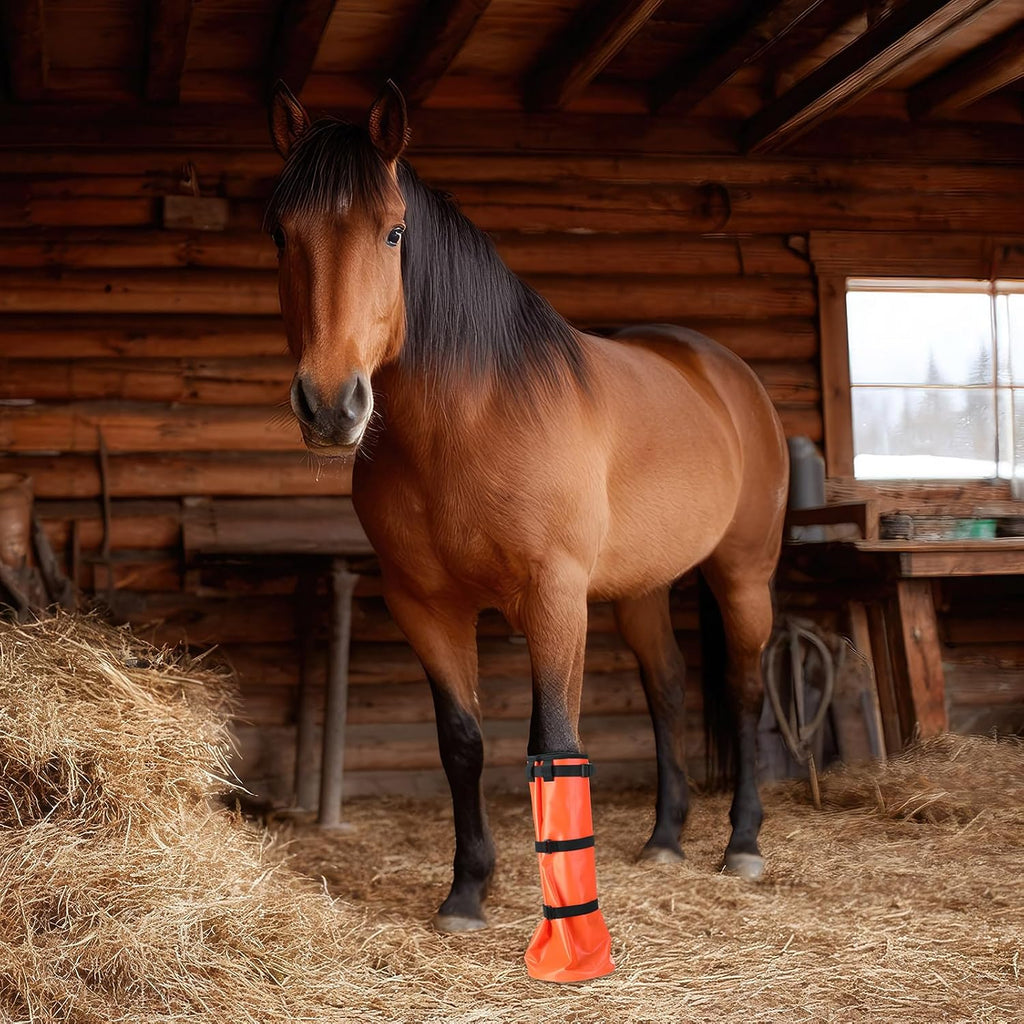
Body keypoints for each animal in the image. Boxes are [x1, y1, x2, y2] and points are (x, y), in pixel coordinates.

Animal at [267, 80, 789, 966]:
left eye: (393, 231)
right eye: (281, 232)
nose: (332, 406)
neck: (470, 421)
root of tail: (725, 373)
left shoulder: (553, 600)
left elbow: (554, 742)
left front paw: (569, 923)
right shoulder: (426, 608)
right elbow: (462, 741)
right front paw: (467, 892)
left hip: (743, 573)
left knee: (745, 688)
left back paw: (742, 845)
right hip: (640, 589)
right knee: (668, 687)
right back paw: (665, 839)